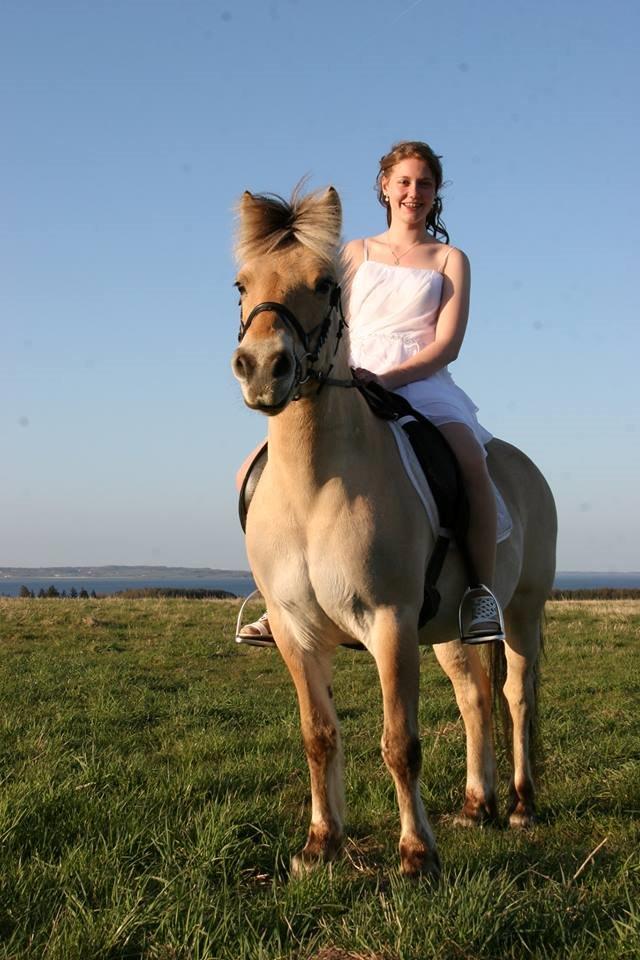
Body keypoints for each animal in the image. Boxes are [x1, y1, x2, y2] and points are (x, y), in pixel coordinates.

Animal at [231, 184, 557, 878]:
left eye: (327, 284)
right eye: (241, 284)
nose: (263, 369)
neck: (315, 485)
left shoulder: (388, 622)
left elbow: (400, 742)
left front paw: (416, 855)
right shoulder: (298, 632)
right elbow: (319, 736)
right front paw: (320, 844)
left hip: (522, 609)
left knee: (515, 694)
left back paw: (519, 806)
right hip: (449, 629)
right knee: (474, 697)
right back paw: (477, 805)